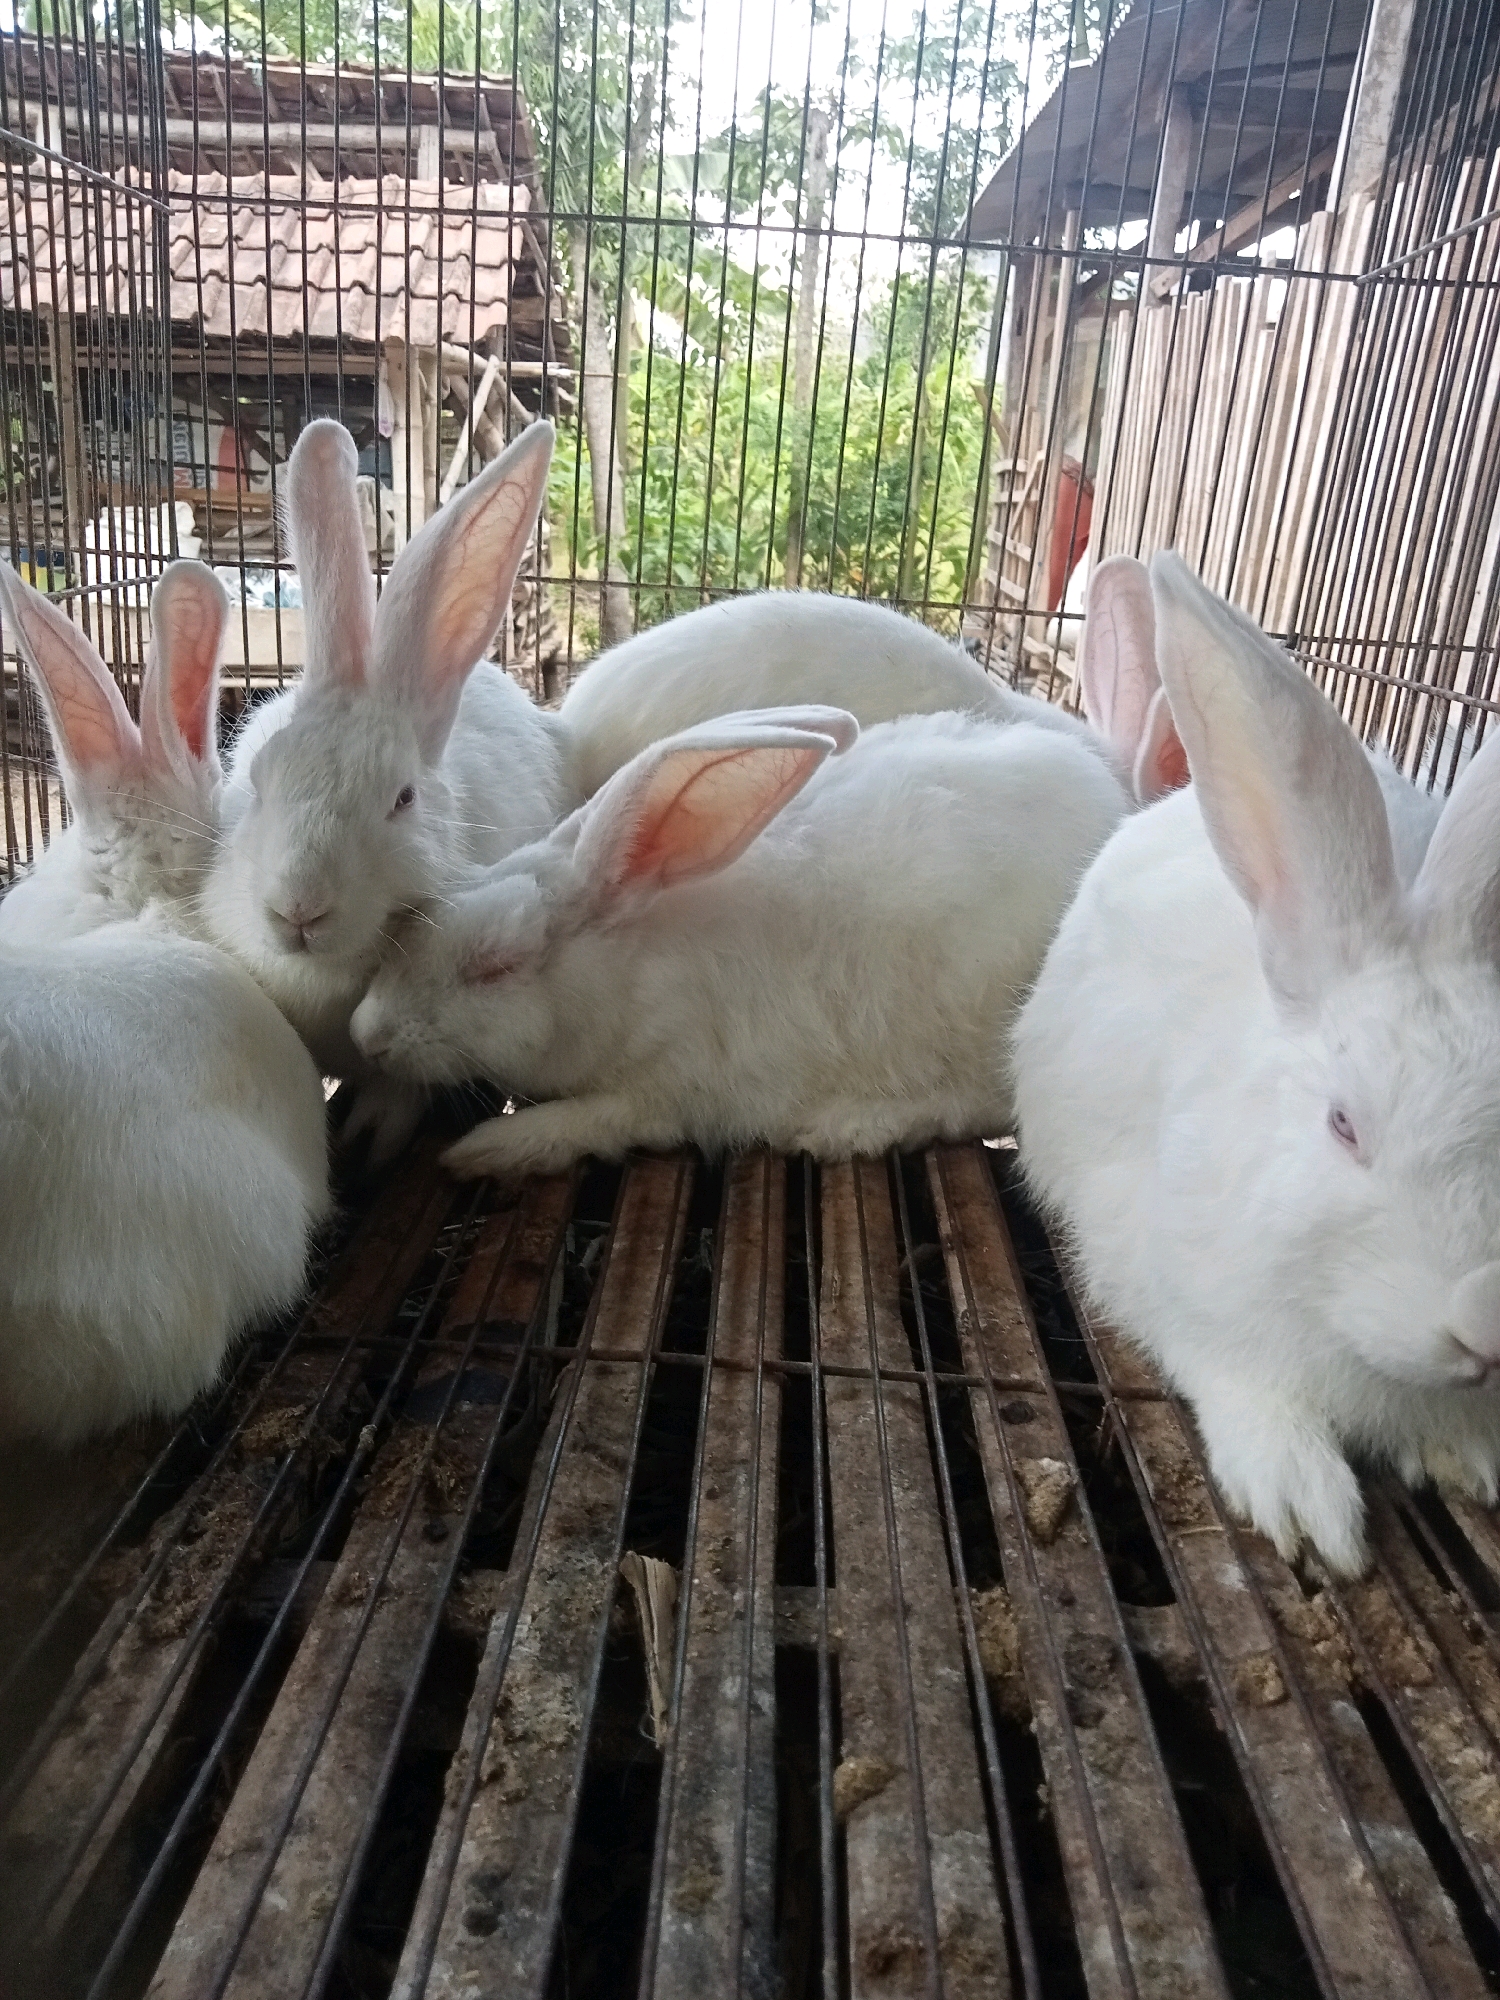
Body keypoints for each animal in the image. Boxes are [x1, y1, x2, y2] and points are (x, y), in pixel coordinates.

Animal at [347, 701, 1131, 1181]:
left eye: (496, 965)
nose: (367, 1033)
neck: (632, 968)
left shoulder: (671, 1093)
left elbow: (586, 1122)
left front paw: (485, 1150)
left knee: (985, 1104)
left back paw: (847, 1125)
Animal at [1013, 552, 1500, 1579]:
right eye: (1344, 1125)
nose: (1486, 1326)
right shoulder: (1182, 1292)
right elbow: (1248, 1392)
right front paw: (1305, 1508)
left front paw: (1468, 1457)